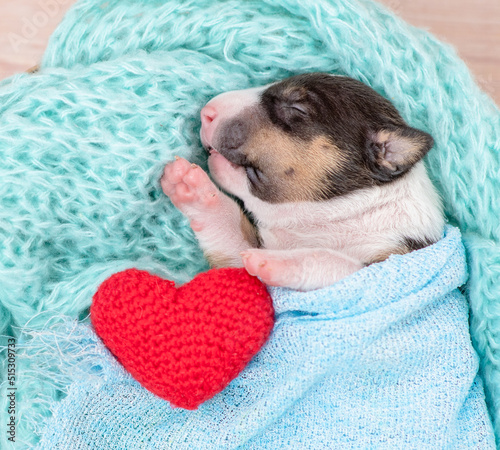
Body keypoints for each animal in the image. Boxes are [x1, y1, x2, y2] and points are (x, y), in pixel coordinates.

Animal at [162, 73, 444, 292]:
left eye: (296, 108)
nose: (206, 112)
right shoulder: (240, 261)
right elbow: (230, 233)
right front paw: (193, 188)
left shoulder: (392, 266)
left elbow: (334, 263)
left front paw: (280, 261)